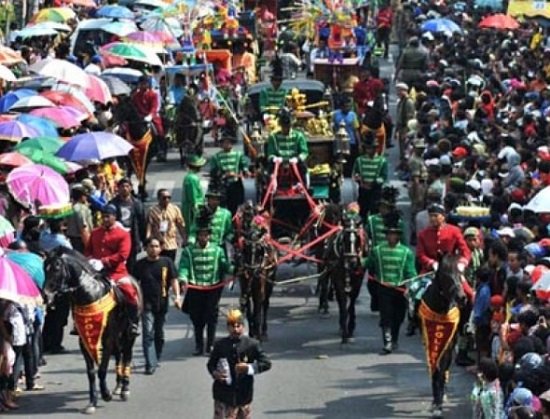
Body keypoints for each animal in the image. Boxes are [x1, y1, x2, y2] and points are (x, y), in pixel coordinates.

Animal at [44, 248, 142, 416]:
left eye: (56, 268)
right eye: (44, 268)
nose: (46, 295)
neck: (90, 295)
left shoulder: (107, 339)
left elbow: (102, 369)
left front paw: (106, 394)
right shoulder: (84, 340)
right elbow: (90, 373)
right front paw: (92, 402)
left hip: (128, 335)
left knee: (127, 356)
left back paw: (124, 389)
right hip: (117, 338)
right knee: (118, 357)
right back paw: (118, 386)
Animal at [320, 212, 366, 342]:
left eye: (358, 238)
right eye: (344, 238)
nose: (351, 262)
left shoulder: (359, 279)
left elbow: (352, 302)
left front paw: (350, 327)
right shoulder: (338, 278)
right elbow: (343, 302)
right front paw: (345, 332)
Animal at [420, 254, 468, 418]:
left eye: (460, 274)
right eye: (445, 275)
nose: (461, 298)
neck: (441, 309)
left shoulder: (449, 343)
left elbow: (441, 372)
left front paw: (439, 403)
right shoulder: (430, 342)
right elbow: (434, 370)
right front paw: (435, 402)